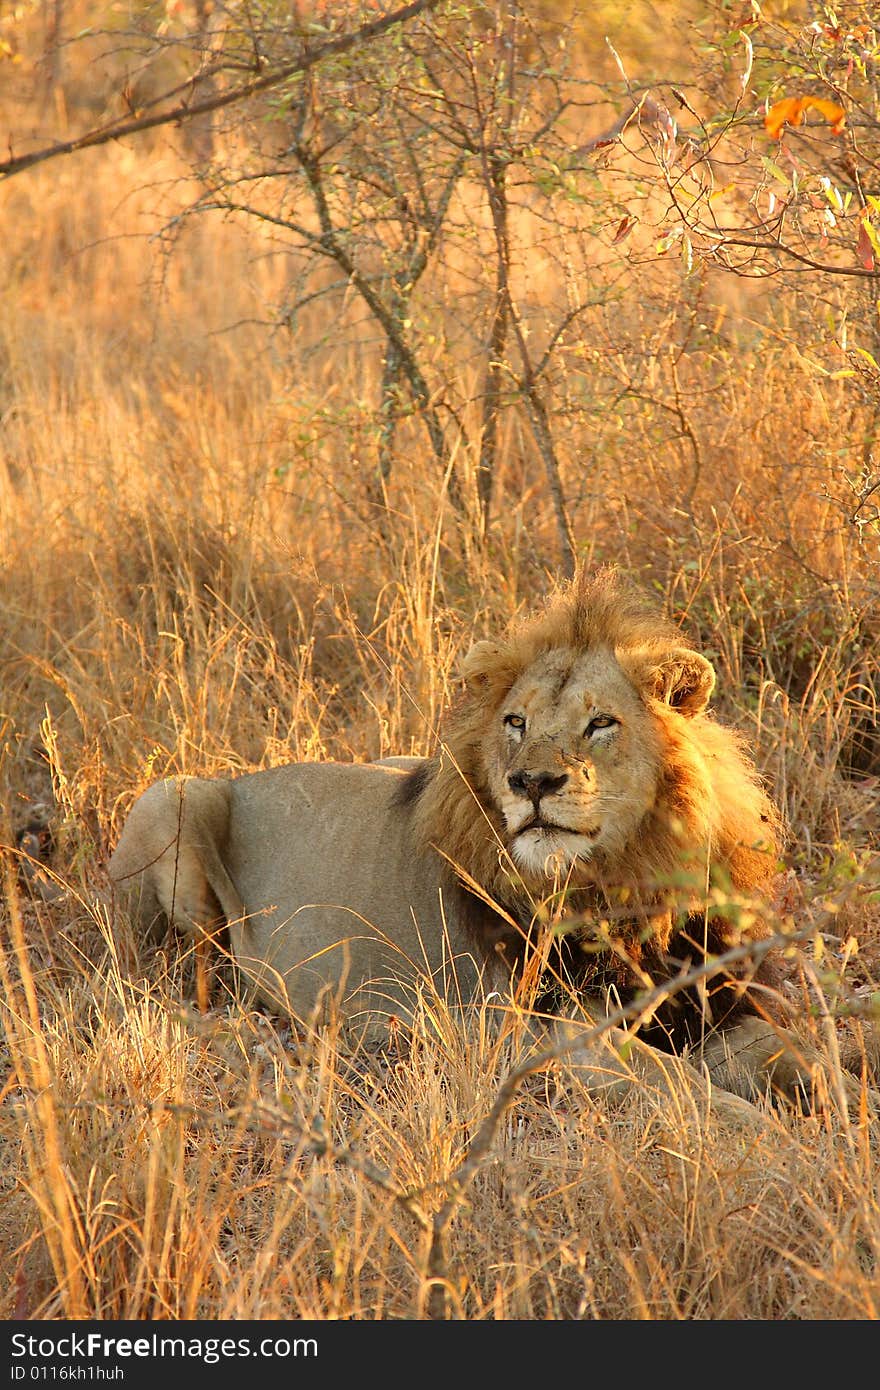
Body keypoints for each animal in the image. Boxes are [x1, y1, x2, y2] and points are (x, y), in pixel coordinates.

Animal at [109, 564, 845, 1117]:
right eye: (516, 722)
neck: (628, 880)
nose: (532, 782)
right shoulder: (553, 1032)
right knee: (193, 979)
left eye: (601, 723)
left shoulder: (717, 1004)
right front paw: (780, 1146)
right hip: (170, 798)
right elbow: (690, 1090)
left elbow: (805, 1057)